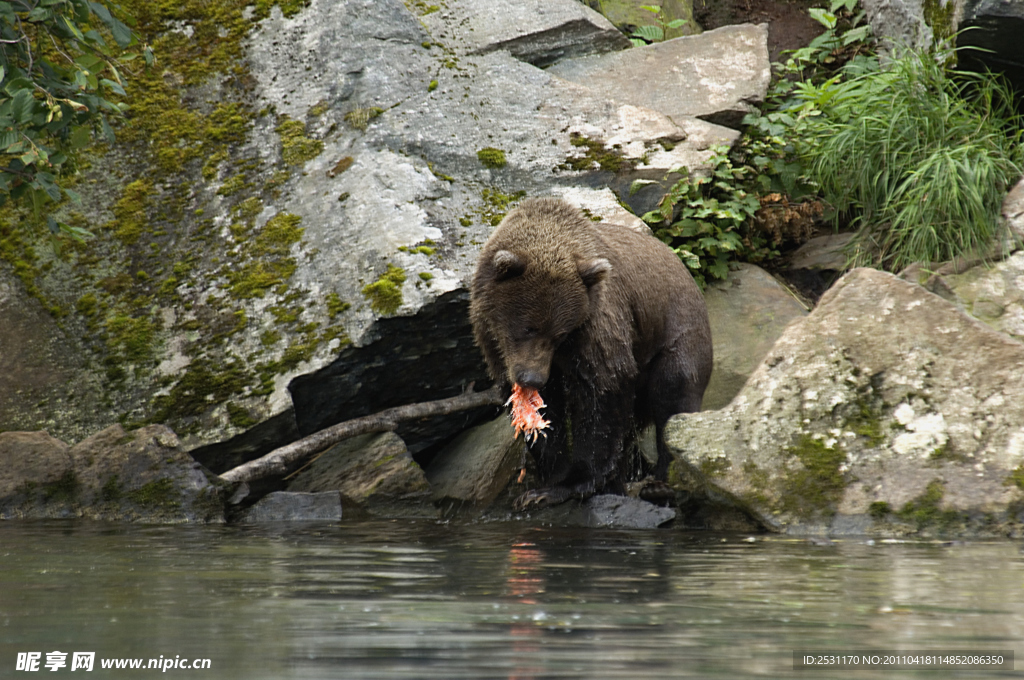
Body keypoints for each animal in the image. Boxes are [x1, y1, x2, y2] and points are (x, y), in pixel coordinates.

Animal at [471, 193, 712, 507]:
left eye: (559, 334)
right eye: (528, 328)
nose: (532, 378)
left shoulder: (598, 322)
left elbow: (603, 388)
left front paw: (569, 483)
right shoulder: (491, 337)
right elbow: (548, 407)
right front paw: (549, 476)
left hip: (675, 337)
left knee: (673, 399)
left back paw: (661, 484)